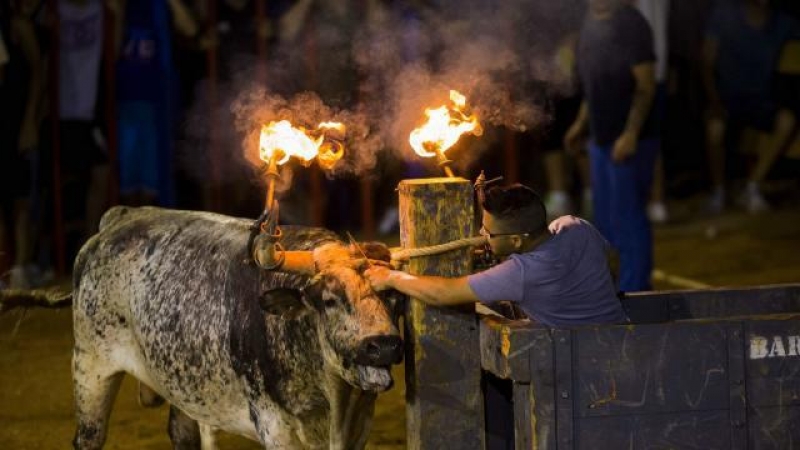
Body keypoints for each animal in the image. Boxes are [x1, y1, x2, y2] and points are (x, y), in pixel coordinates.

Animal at [71, 206, 404, 448]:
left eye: (392, 295)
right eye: (329, 299)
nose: (383, 345)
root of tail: (119, 217)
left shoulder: (360, 426)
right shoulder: (276, 429)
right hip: (91, 370)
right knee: (89, 437)